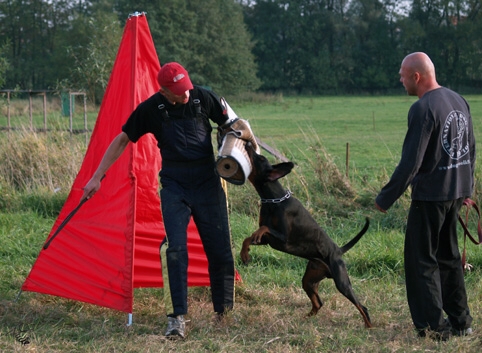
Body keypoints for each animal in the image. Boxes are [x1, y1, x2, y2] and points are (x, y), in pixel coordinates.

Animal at [241, 143, 372, 328]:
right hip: (309, 280)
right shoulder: (270, 241)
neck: (274, 199)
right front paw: (244, 255)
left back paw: (368, 326)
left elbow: (263, 228)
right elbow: (249, 238)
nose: (247, 144)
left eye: (260, 158)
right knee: (319, 303)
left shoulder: (284, 239)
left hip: (342, 282)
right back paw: (304, 319)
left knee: (362, 307)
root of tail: (338, 251)